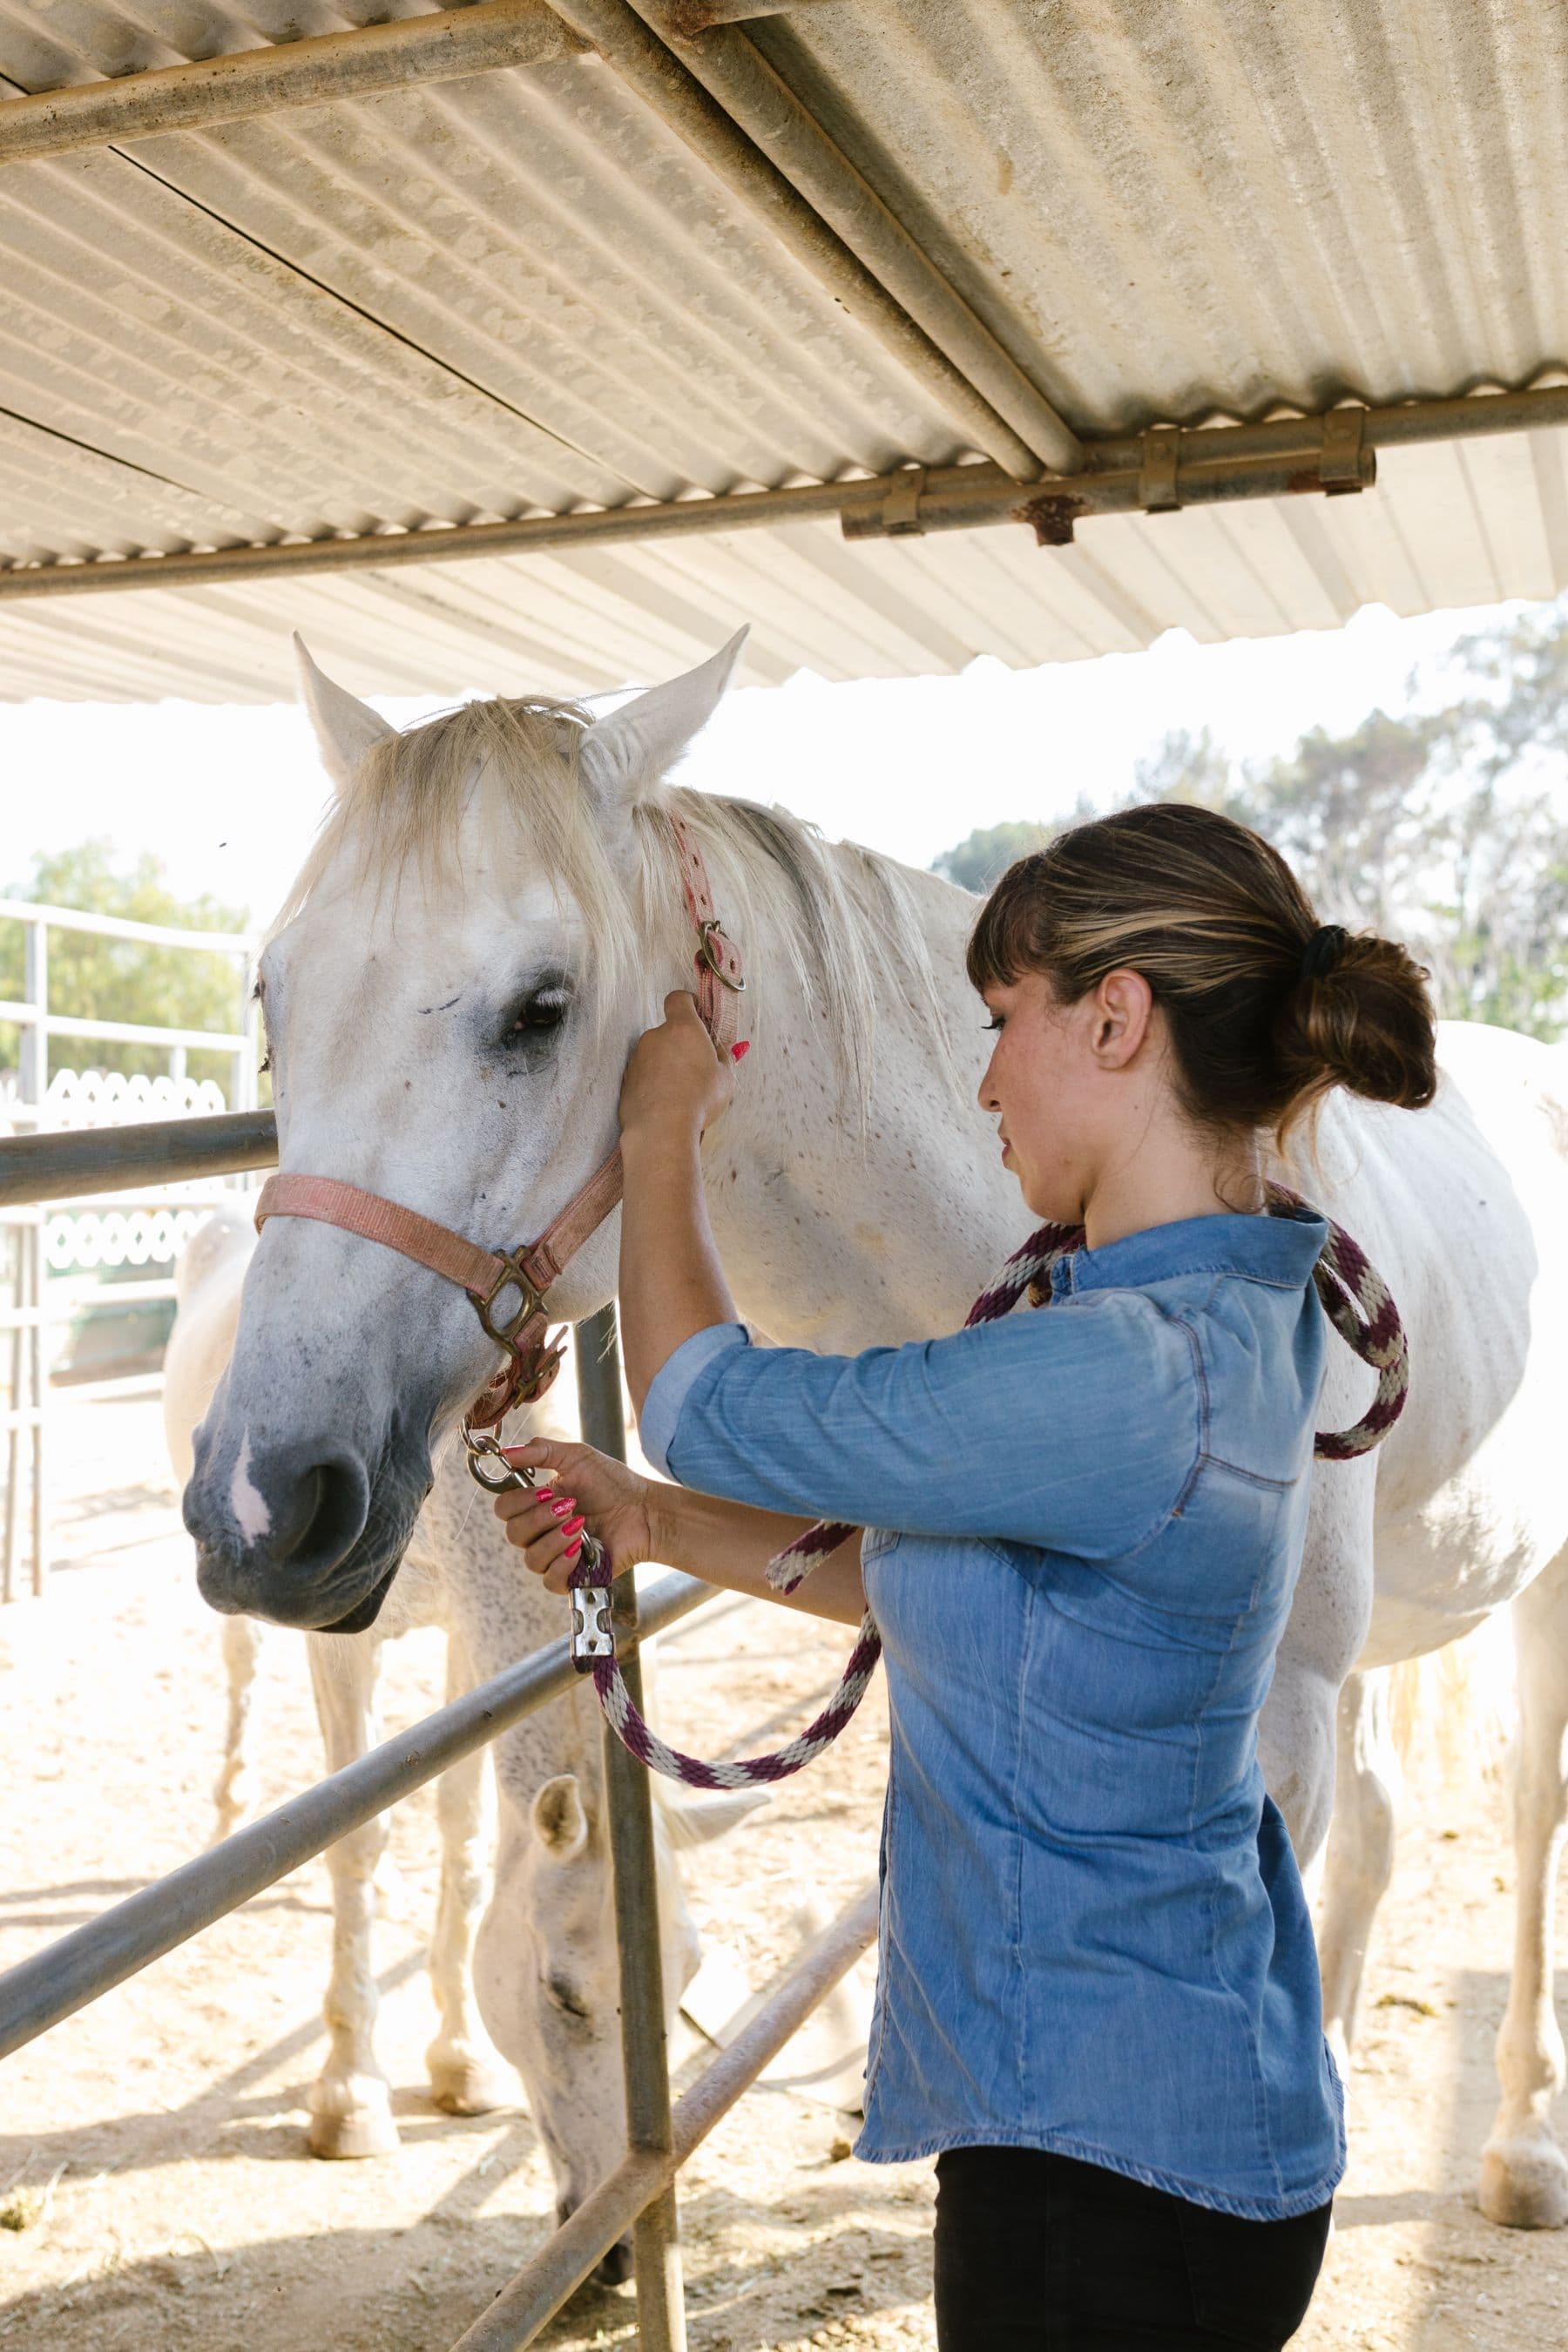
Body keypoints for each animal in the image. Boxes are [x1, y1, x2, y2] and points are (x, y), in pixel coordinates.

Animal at [165, 1200, 759, 2260]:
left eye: (685, 1979)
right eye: (563, 1992)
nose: (611, 2254)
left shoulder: (457, 1637)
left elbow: (459, 1826)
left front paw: (458, 2063)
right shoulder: (342, 1642)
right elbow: (355, 1836)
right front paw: (351, 2099)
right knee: (238, 1672)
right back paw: (231, 1810)